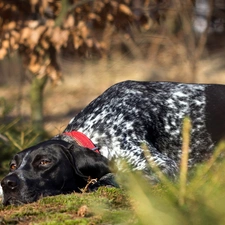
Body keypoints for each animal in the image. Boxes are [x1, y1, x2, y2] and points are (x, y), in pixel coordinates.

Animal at [0, 81, 224, 206]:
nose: (7, 183)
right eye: (13, 165)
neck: (95, 133)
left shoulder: (163, 166)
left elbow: (111, 178)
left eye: (44, 162)